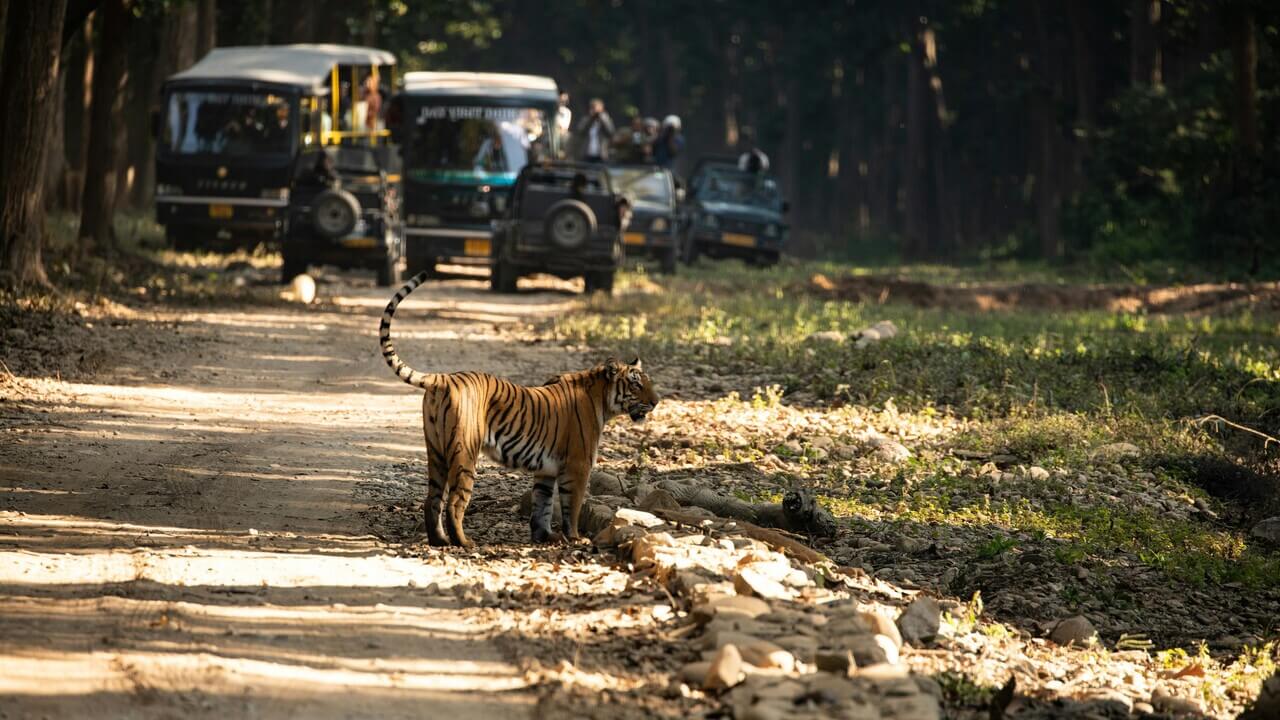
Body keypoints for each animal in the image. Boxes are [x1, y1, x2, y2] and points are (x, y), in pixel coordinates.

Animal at [373, 271, 660, 545]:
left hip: (436, 451)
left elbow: (542, 505)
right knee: (455, 502)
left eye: (648, 382)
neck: (602, 398)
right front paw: (575, 538)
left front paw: (545, 537)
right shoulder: (578, 465)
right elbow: (573, 506)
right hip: (464, 452)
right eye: (636, 384)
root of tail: (443, 378)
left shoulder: (546, 471)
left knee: (432, 500)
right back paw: (464, 543)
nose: (656, 401)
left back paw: (440, 541)